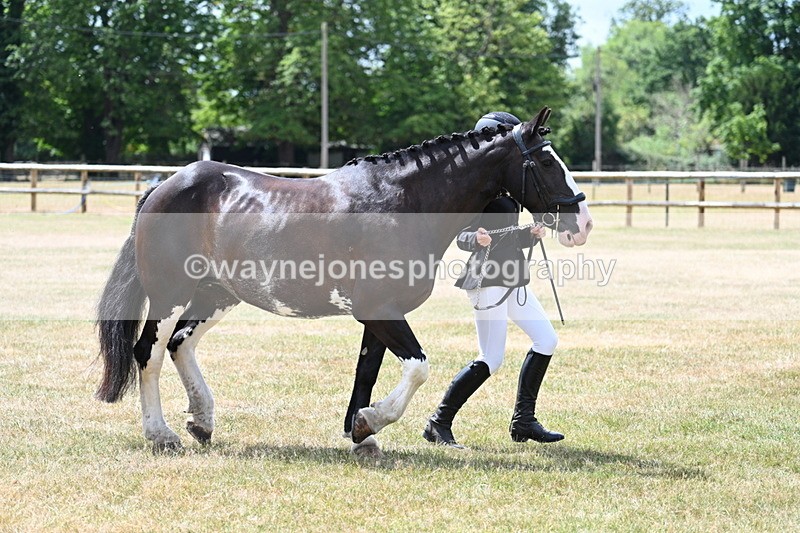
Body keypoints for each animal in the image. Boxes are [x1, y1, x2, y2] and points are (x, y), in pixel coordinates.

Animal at [95, 107, 593, 455]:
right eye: (547, 162)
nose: (583, 223)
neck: (402, 202)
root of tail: (163, 187)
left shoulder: (379, 315)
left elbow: (368, 372)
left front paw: (361, 432)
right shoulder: (380, 311)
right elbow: (418, 367)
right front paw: (370, 423)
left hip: (215, 295)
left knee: (181, 345)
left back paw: (201, 421)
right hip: (170, 294)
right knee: (149, 352)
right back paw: (160, 434)